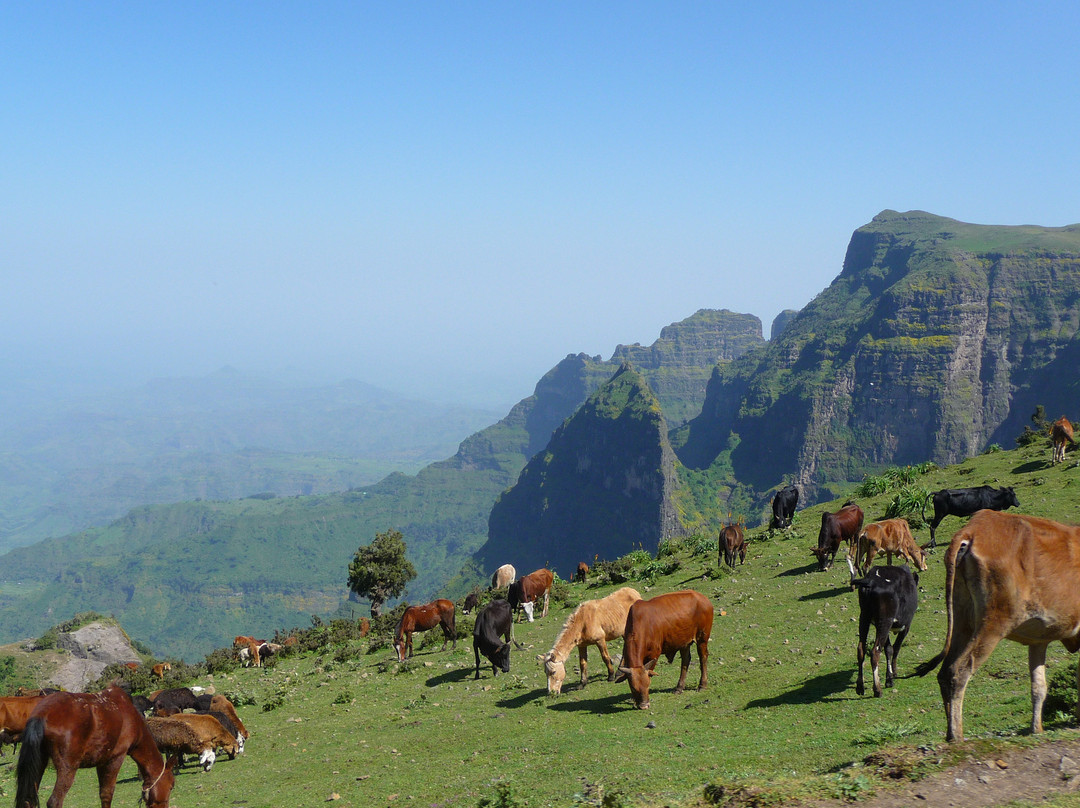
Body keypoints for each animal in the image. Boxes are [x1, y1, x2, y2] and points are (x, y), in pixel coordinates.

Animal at [15, 682, 176, 808]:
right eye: (171, 786)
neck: (130, 716)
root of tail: (42, 714)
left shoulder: (101, 761)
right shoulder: (115, 759)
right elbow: (107, 794)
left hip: (39, 764)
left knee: (28, 801)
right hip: (67, 768)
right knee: (55, 801)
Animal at [851, 566, 920, 695]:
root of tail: (871, 580)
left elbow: (888, 649)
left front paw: (889, 678)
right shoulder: (906, 626)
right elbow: (896, 648)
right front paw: (894, 673)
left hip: (864, 617)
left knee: (861, 649)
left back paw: (860, 686)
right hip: (885, 621)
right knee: (875, 651)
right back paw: (877, 689)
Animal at [915, 507, 1080, 743]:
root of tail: (973, 529)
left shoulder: (1039, 640)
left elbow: (1038, 686)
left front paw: (1036, 729)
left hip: (962, 620)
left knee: (945, 672)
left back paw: (949, 733)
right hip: (994, 623)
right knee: (959, 671)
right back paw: (957, 735)